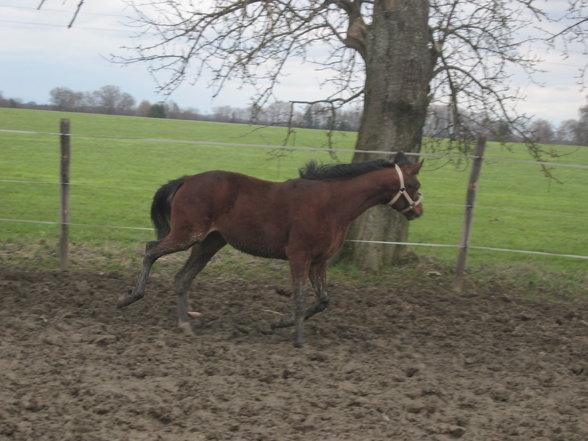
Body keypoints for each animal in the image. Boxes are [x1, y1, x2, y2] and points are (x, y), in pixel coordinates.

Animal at [118, 151, 422, 348]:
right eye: (414, 185)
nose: (419, 211)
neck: (330, 204)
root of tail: (188, 179)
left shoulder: (319, 261)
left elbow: (323, 300)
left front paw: (280, 323)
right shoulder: (299, 257)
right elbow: (300, 298)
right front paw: (299, 340)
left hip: (209, 242)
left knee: (182, 278)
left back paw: (184, 324)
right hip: (188, 234)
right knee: (151, 250)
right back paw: (130, 297)